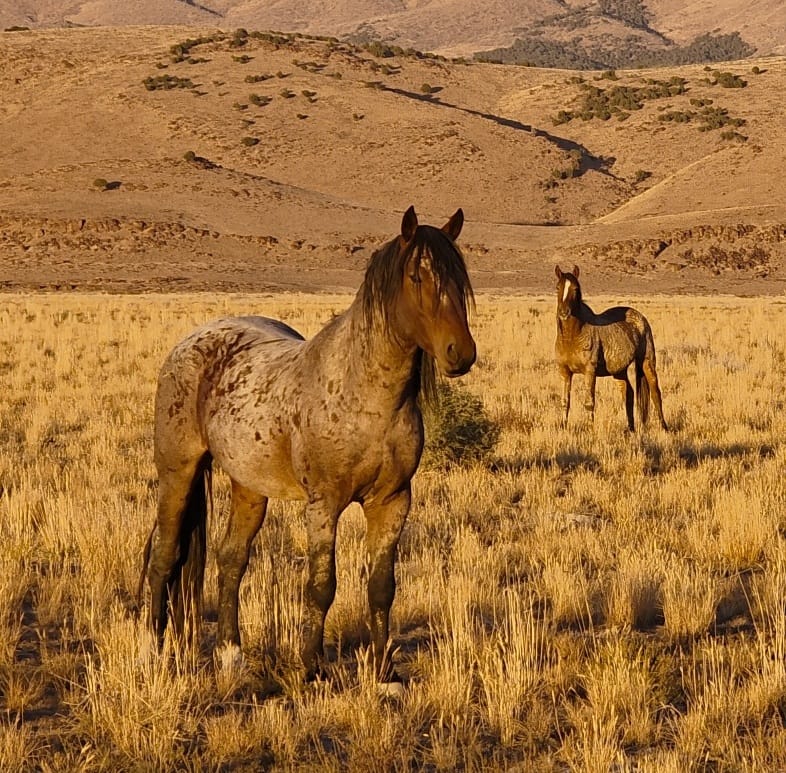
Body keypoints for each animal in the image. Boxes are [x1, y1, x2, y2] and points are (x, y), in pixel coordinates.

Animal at [138, 206, 476, 684]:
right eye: (416, 276)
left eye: (460, 278)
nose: (460, 353)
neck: (366, 395)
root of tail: (191, 341)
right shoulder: (323, 505)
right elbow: (321, 586)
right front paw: (310, 668)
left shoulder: (393, 501)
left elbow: (381, 588)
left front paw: (384, 673)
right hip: (178, 473)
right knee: (165, 557)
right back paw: (151, 650)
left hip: (249, 486)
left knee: (231, 559)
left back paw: (230, 654)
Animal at [554, 265, 667, 432]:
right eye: (557, 287)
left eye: (575, 288)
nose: (564, 312)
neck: (573, 336)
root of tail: (640, 317)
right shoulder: (565, 372)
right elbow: (565, 402)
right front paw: (563, 427)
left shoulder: (590, 372)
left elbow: (589, 403)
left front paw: (590, 429)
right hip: (619, 371)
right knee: (628, 393)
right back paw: (630, 429)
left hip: (647, 362)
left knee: (655, 393)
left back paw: (664, 428)